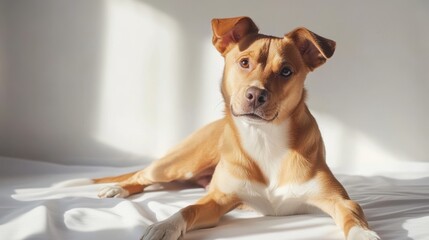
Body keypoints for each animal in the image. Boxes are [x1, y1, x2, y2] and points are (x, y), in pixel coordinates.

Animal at [93, 15, 378, 239]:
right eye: (244, 62)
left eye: (286, 71)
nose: (256, 94)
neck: (263, 138)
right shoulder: (218, 198)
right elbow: (187, 209)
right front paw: (164, 225)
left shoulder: (339, 200)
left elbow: (353, 217)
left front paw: (363, 234)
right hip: (179, 164)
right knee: (143, 175)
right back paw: (118, 187)